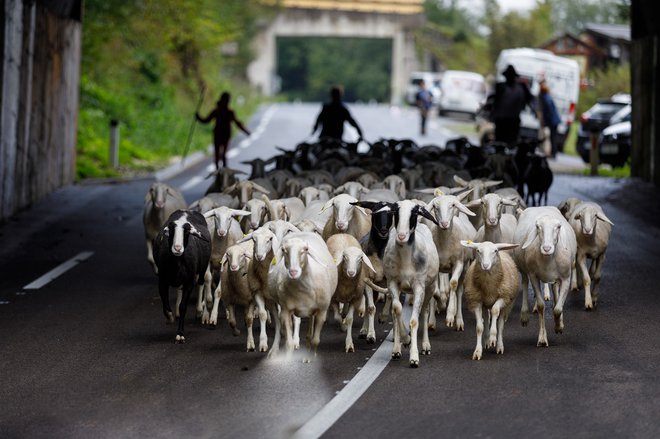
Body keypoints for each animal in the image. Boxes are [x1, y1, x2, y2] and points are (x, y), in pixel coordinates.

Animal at [512, 206, 576, 348]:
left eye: (558, 227)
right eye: (538, 227)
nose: (547, 248)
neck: (548, 259)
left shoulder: (566, 278)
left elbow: (558, 308)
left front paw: (558, 326)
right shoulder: (533, 276)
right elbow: (541, 305)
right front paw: (542, 339)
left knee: (555, 290)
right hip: (523, 268)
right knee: (525, 283)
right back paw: (524, 316)